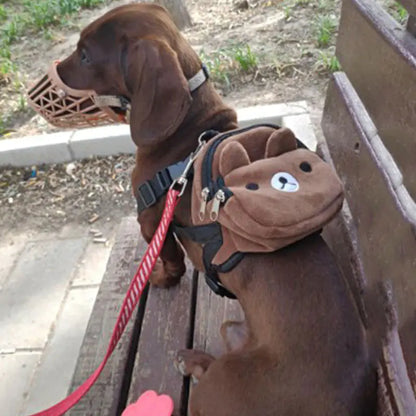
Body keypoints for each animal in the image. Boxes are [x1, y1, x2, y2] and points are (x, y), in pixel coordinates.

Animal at [57, 4, 376, 416]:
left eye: (84, 55)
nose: (57, 68)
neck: (188, 133)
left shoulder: (151, 221)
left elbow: (170, 258)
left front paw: (161, 278)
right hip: (233, 334)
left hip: (221, 384)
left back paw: (191, 361)